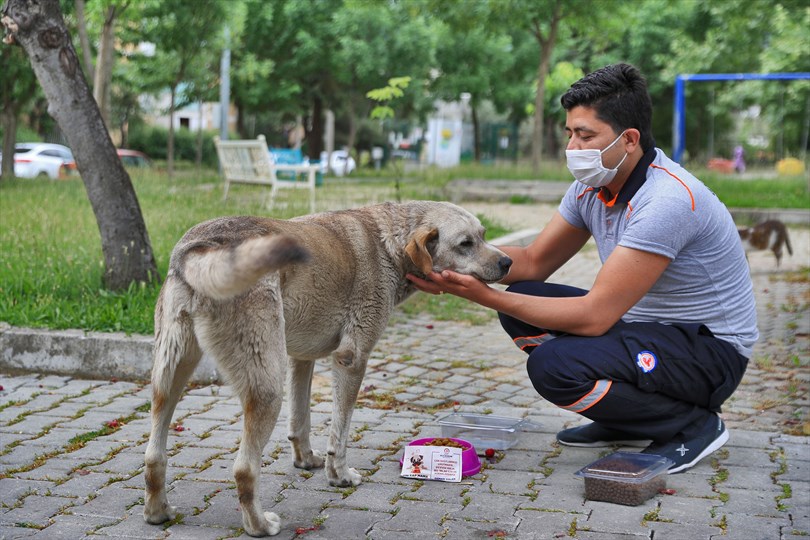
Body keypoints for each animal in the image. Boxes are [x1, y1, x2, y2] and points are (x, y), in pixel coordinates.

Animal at [144, 201, 512, 536]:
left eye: (483, 236)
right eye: (465, 243)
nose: (508, 262)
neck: (387, 242)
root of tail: (200, 248)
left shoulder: (300, 359)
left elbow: (300, 422)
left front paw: (306, 460)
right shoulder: (352, 359)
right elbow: (340, 432)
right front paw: (339, 476)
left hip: (171, 376)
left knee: (154, 455)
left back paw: (158, 512)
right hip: (266, 389)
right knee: (244, 470)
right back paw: (259, 525)